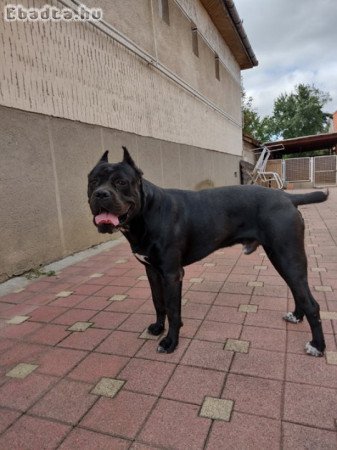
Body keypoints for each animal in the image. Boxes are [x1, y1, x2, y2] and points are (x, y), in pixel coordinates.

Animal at [87, 147, 328, 356]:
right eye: (93, 181)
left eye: (121, 182)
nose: (100, 194)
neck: (146, 212)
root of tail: (287, 197)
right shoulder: (152, 271)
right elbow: (158, 303)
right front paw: (158, 328)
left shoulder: (172, 275)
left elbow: (173, 310)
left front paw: (170, 342)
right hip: (284, 260)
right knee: (298, 292)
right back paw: (296, 317)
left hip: (287, 257)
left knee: (311, 303)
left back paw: (317, 345)